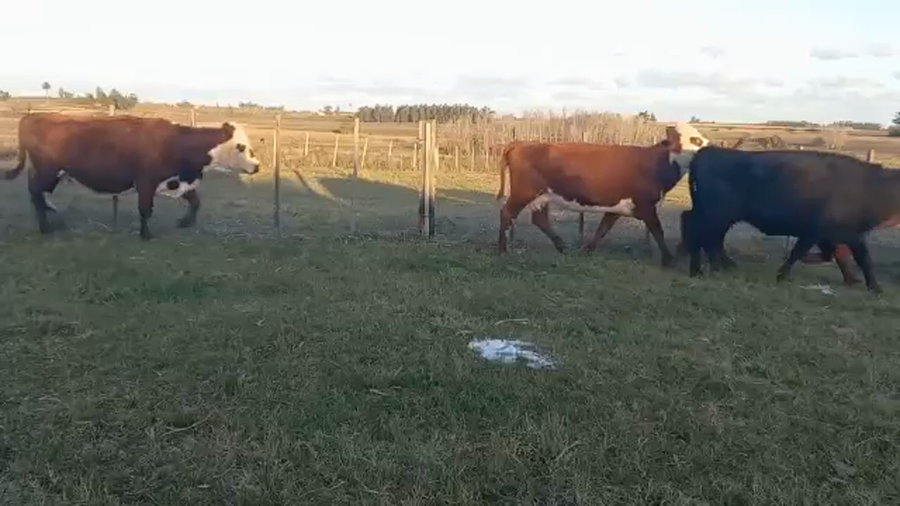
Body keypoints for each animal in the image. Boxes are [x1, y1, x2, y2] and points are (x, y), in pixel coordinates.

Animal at [2, 112, 261, 240]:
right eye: (241, 147)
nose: (257, 166)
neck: (177, 144)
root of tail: (33, 116)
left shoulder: (175, 180)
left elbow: (195, 200)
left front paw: (185, 222)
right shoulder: (146, 182)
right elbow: (145, 209)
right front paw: (146, 235)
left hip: (47, 172)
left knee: (37, 193)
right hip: (48, 171)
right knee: (36, 192)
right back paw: (45, 228)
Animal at [495, 122, 710, 266]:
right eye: (696, 140)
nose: (711, 148)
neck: (658, 164)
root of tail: (521, 143)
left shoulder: (617, 206)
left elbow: (603, 228)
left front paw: (588, 250)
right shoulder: (646, 206)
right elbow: (658, 231)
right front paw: (668, 259)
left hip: (542, 195)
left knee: (540, 219)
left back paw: (562, 246)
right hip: (524, 192)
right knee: (507, 213)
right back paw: (502, 249)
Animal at [680, 146, 898, 293]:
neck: (872, 186)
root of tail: (708, 151)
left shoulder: (837, 236)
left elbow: (841, 256)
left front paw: (855, 281)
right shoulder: (829, 233)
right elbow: (859, 259)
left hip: (718, 216)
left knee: (705, 233)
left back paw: (716, 267)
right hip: (716, 216)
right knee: (704, 235)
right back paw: (708, 269)